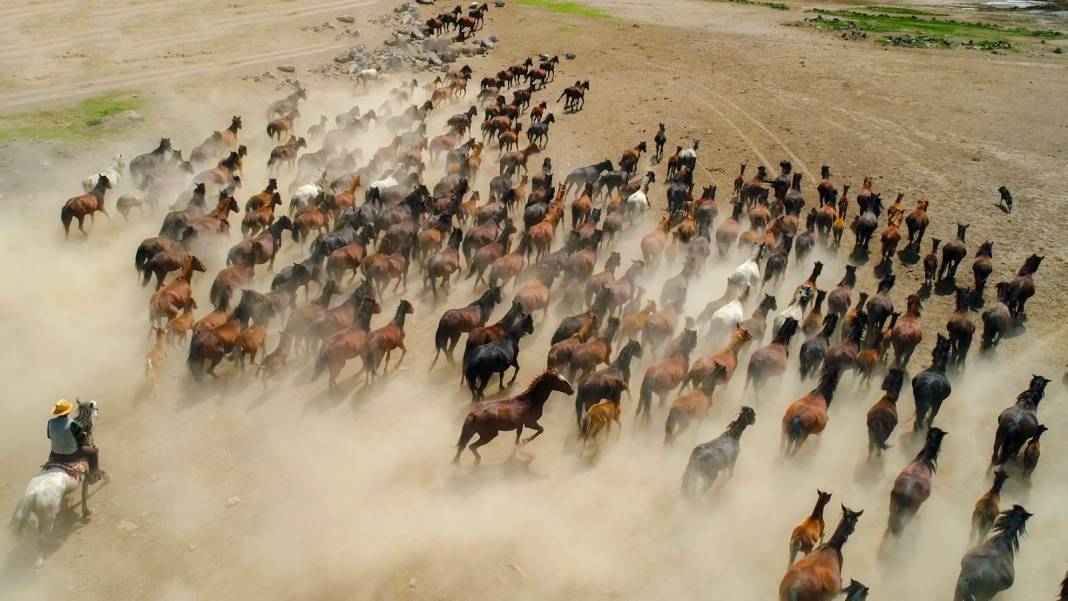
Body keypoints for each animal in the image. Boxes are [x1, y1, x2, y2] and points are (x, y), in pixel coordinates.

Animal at [9, 401, 100, 567]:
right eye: (95, 408)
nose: (98, 409)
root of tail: (32, 494)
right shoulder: (85, 481)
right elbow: (85, 496)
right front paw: (87, 512)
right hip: (47, 517)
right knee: (42, 537)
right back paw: (40, 560)